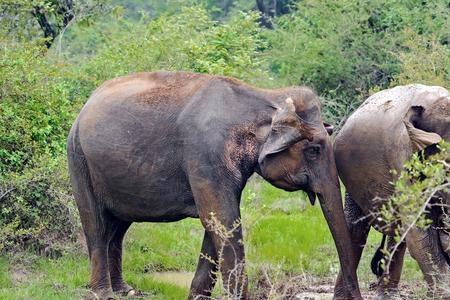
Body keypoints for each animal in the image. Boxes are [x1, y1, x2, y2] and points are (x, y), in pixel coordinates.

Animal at [67, 71, 362, 298]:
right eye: (313, 150)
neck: (265, 96)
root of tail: (85, 107)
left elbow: (217, 223)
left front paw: (196, 297)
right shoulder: (206, 156)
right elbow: (223, 220)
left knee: (118, 228)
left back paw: (124, 290)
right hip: (78, 159)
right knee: (95, 224)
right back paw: (103, 293)